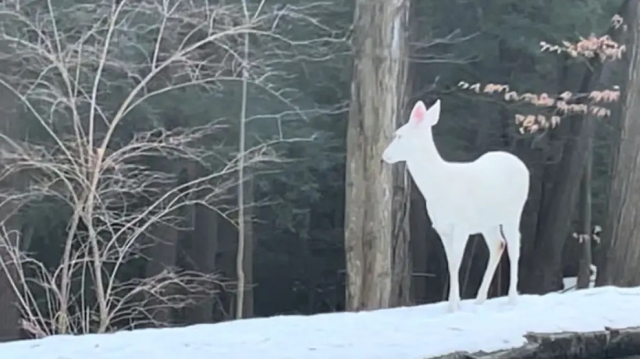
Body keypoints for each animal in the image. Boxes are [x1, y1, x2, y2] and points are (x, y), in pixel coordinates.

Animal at [382, 100, 528, 314]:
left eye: (399, 134)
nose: (385, 155)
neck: (439, 186)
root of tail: (522, 166)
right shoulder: (442, 227)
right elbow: (450, 262)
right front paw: (455, 304)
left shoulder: (461, 224)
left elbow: (456, 262)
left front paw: (452, 307)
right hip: (488, 222)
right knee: (498, 244)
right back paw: (479, 299)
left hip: (514, 211)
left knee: (514, 246)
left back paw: (512, 299)